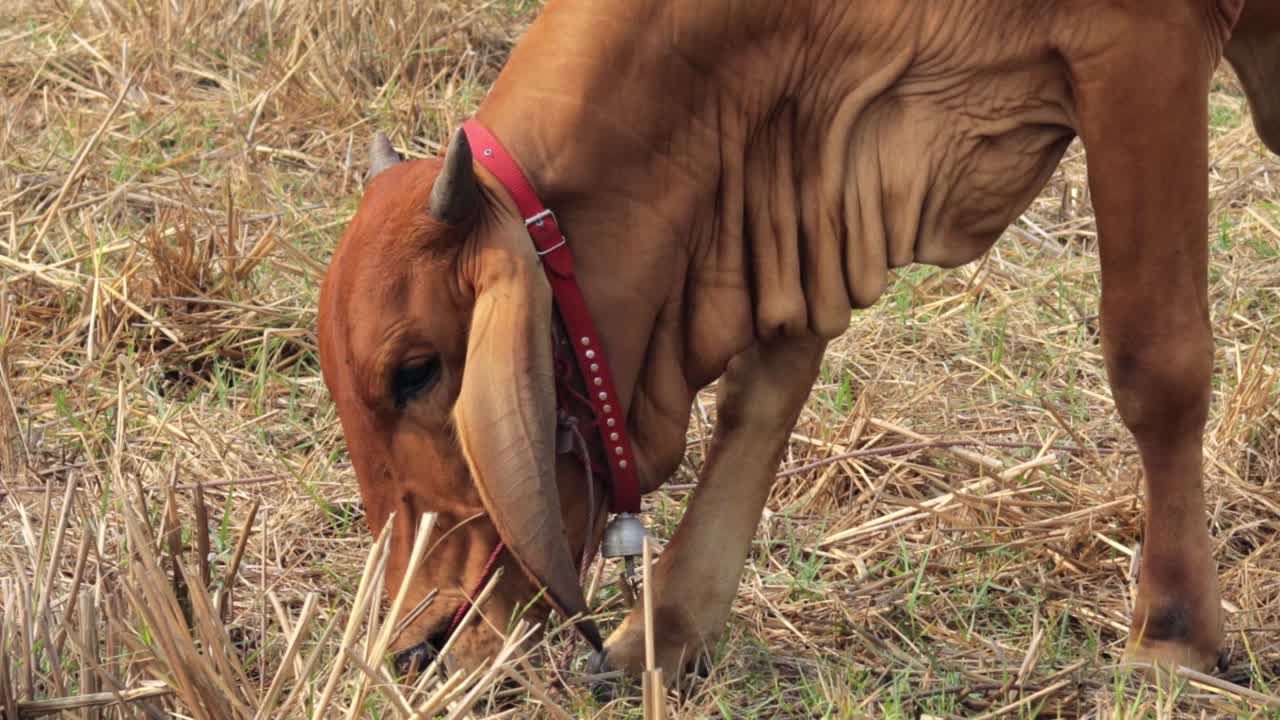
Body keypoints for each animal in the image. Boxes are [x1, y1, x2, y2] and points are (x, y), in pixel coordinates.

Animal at [317, 0, 1280, 685]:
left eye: (417, 370)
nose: (413, 647)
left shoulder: (1142, 51)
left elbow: (1155, 362)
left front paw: (1174, 636)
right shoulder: (812, 191)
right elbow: (761, 398)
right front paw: (667, 628)